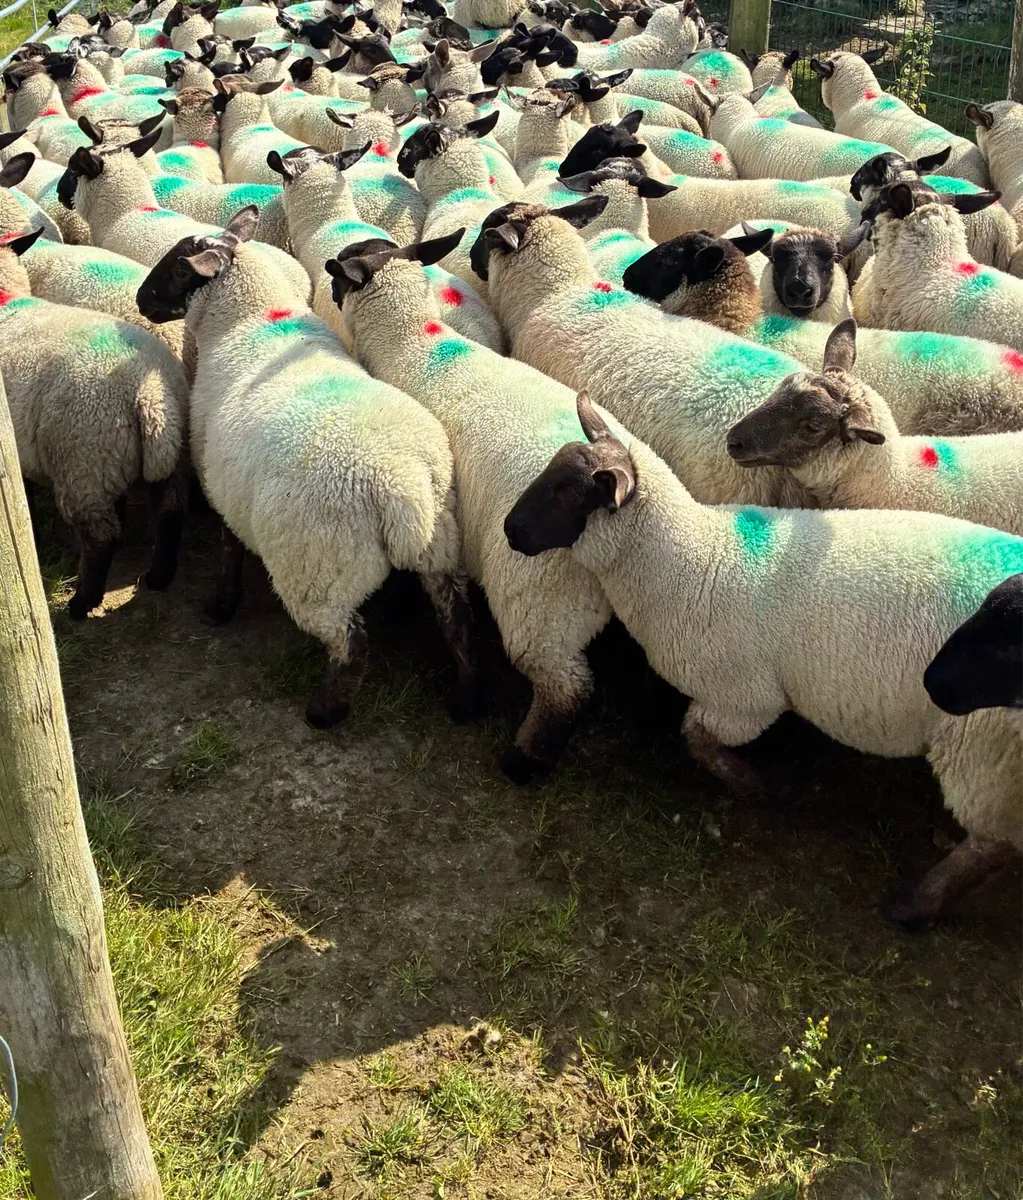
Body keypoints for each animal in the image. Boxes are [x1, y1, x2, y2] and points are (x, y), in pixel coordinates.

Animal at [0, 226, 188, 619]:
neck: (5, 303)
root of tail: (148, 393)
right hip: (164, 455)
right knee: (170, 510)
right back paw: (159, 576)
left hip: (81, 459)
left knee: (101, 537)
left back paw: (82, 601)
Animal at [135, 205, 478, 725]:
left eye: (178, 269)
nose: (140, 300)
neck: (247, 320)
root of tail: (402, 487)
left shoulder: (223, 484)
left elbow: (230, 549)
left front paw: (221, 606)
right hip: (441, 548)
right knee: (456, 620)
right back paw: (464, 699)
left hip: (318, 570)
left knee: (351, 643)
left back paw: (325, 710)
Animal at [327, 228, 625, 782]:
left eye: (340, 271)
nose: (328, 288)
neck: (411, 343)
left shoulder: (432, 527)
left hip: (538, 601)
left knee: (565, 688)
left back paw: (524, 762)